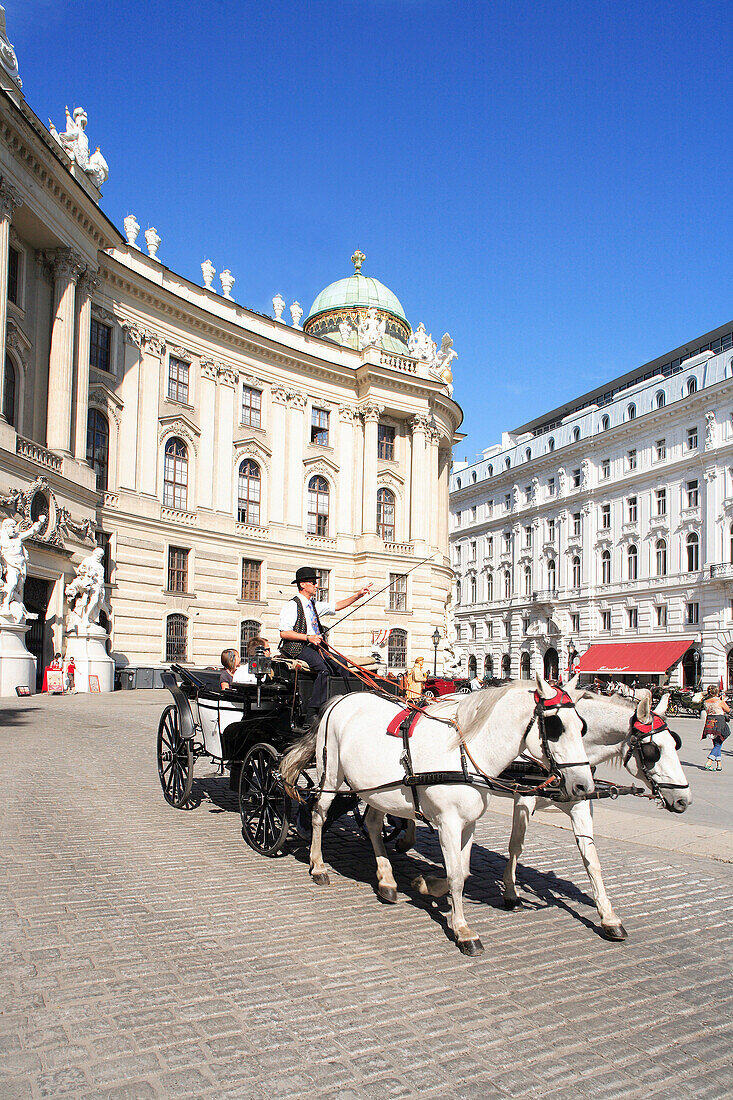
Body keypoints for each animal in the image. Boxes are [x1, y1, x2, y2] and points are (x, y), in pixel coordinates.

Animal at [277, 668, 589, 954]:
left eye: (582, 726)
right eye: (556, 726)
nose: (583, 785)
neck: (465, 753)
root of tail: (341, 698)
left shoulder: (468, 824)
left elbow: (463, 871)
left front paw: (426, 885)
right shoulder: (448, 823)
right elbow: (456, 876)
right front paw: (463, 931)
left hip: (377, 790)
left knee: (374, 824)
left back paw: (387, 881)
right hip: (331, 774)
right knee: (319, 814)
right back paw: (318, 865)